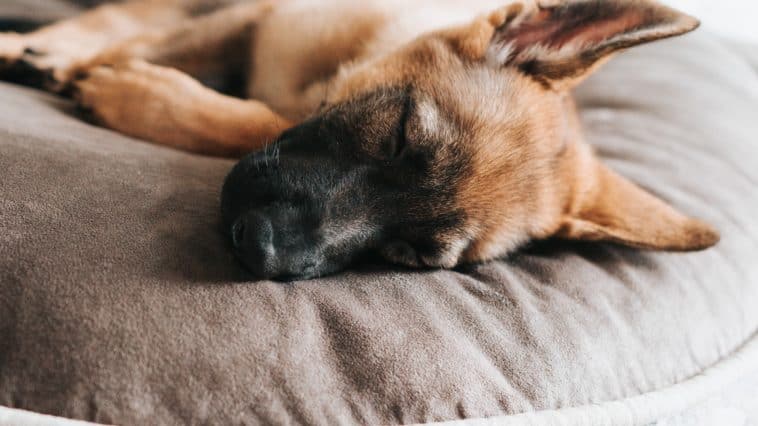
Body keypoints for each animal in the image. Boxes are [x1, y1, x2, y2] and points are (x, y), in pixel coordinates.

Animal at [0, 0, 720, 280]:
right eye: (400, 135)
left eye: (414, 256)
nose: (260, 249)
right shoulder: (250, 15)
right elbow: (140, 35)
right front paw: (61, 58)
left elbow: (254, 116)